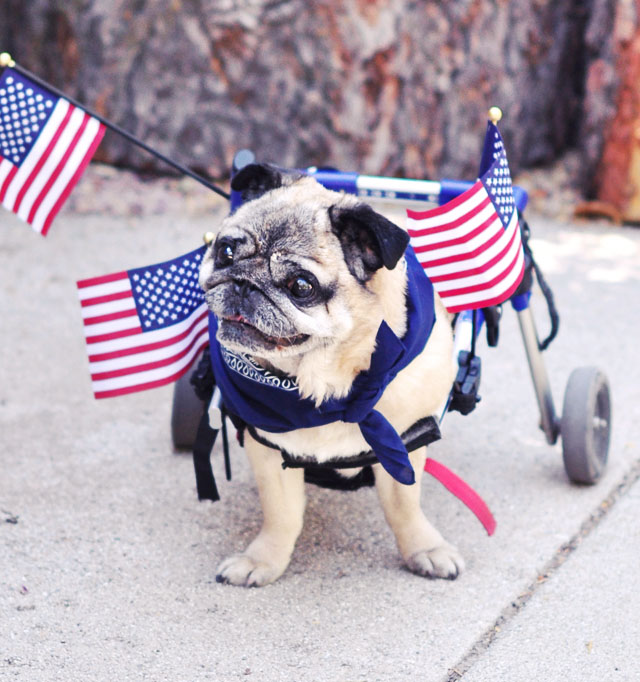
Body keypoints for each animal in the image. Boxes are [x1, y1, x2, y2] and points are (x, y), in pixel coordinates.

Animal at [198, 165, 462, 584]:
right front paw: (264, 560)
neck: (327, 388)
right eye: (225, 251)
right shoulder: (269, 448)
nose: (244, 284)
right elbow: (281, 515)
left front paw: (425, 549)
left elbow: (404, 506)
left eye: (301, 286)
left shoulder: (406, 441)